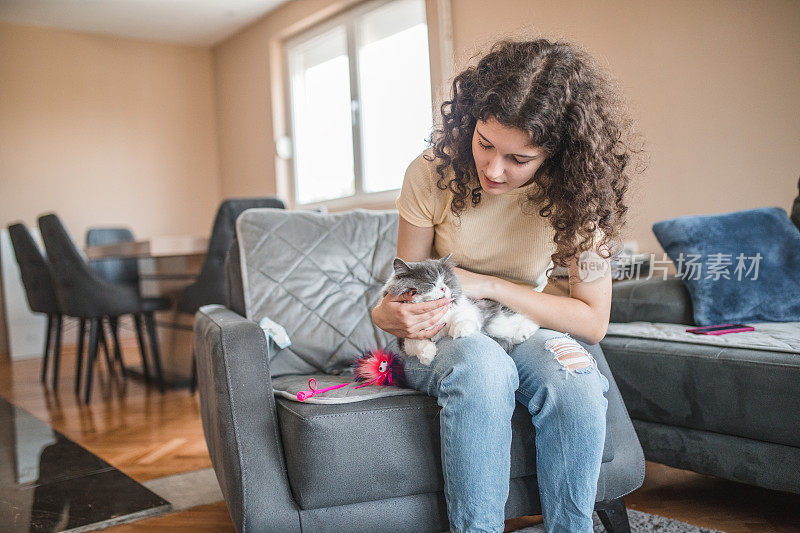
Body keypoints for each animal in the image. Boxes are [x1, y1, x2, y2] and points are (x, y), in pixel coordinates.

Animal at [380, 255, 536, 366]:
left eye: (446, 282)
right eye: (430, 283)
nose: (444, 288)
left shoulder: (469, 308)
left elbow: (460, 318)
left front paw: (460, 331)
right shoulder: (404, 336)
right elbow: (416, 343)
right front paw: (428, 355)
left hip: (497, 323)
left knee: (523, 322)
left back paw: (524, 332)